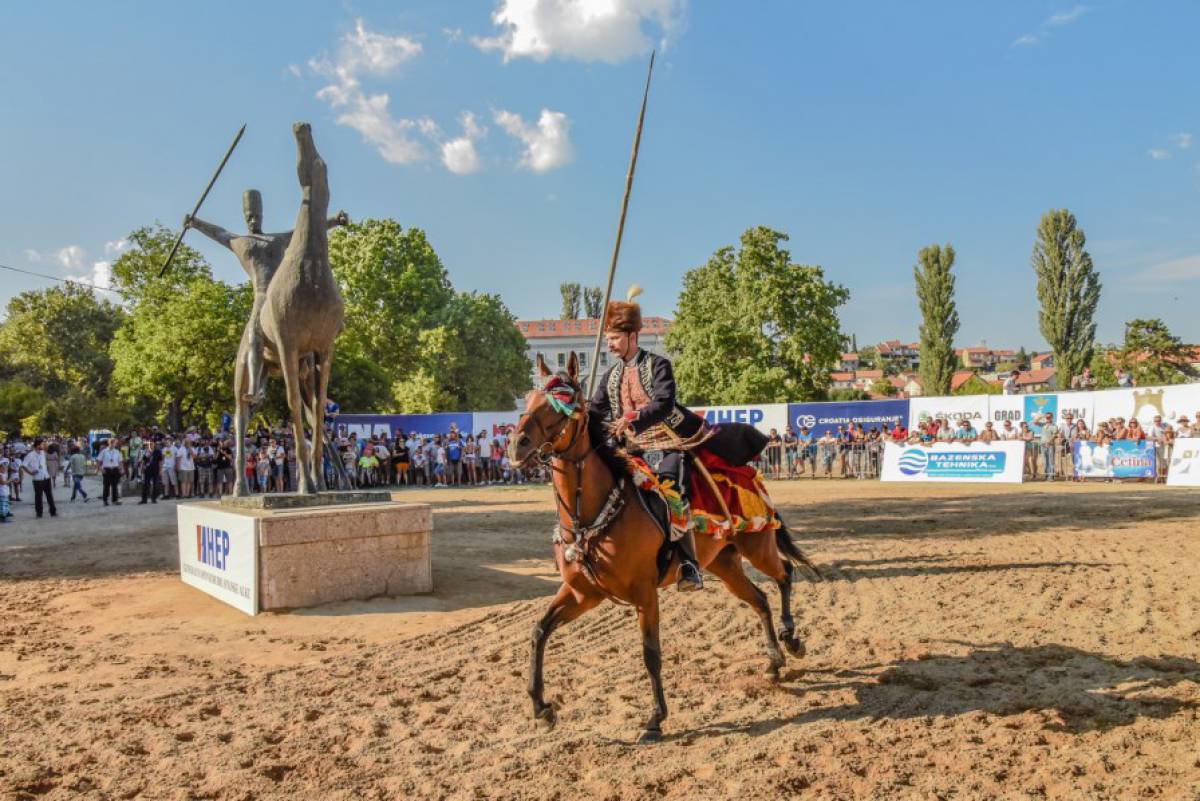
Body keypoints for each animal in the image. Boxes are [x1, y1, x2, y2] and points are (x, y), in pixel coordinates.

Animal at [506, 352, 816, 743]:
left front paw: (655, 718)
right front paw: (541, 707)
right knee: (759, 599)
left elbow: (650, 653)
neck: (593, 515)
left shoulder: (644, 593)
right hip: (724, 564)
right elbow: (539, 632)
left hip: (756, 544)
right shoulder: (583, 593)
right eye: (529, 400)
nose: (517, 444)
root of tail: (749, 472)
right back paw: (774, 662)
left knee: (784, 574)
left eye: (563, 404)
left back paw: (792, 639)